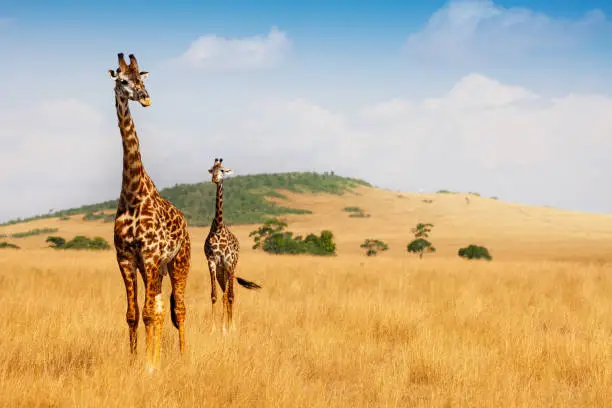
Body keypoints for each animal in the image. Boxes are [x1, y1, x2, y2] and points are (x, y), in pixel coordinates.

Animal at [106, 52, 190, 372]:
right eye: (122, 80)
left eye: (140, 79)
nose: (145, 97)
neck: (132, 193)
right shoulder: (127, 257)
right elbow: (133, 313)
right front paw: (136, 361)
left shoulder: (152, 256)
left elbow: (148, 313)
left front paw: (149, 367)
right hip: (155, 268)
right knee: (159, 306)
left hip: (179, 262)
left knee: (179, 308)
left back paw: (183, 358)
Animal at [203, 158, 260, 334]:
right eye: (212, 169)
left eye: (222, 170)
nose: (214, 178)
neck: (218, 226)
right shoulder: (212, 262)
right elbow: (214, 295)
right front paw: (213, 329)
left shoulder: (228, 262)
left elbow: (227, 296)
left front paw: (226, 329)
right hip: (222, 273)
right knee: (224, 293)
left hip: (231, 268)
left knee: (231, 295)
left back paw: (231, 327)